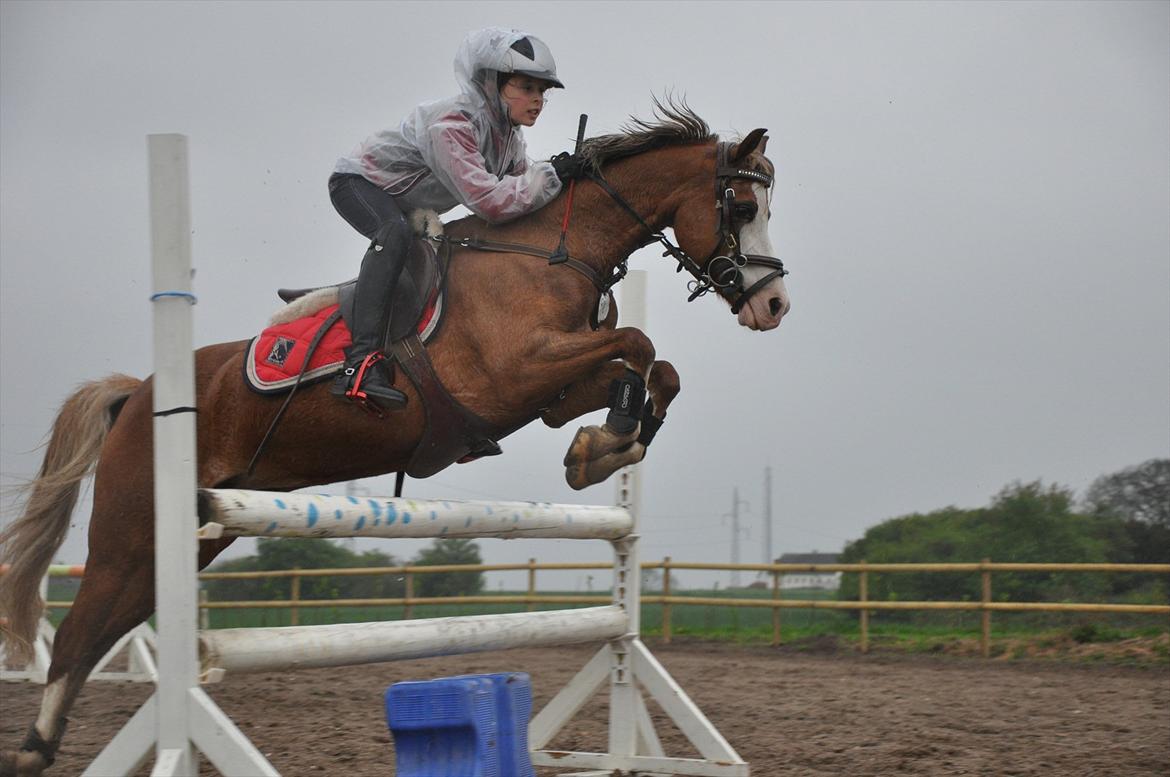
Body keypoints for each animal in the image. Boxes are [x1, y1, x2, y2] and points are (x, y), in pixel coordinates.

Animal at [0, 102, 789, 775]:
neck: (551, 252)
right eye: (742, 207)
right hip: (132, 527)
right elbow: (639, 343)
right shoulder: (514, 374)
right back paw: (35, 748)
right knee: (79, 633)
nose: (775, 303)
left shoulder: (554, 391)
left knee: (105, 629)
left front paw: (603, 448)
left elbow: (655, 368)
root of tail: (138, 393)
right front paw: (609, 442)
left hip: (193, 534)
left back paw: (49, 740)